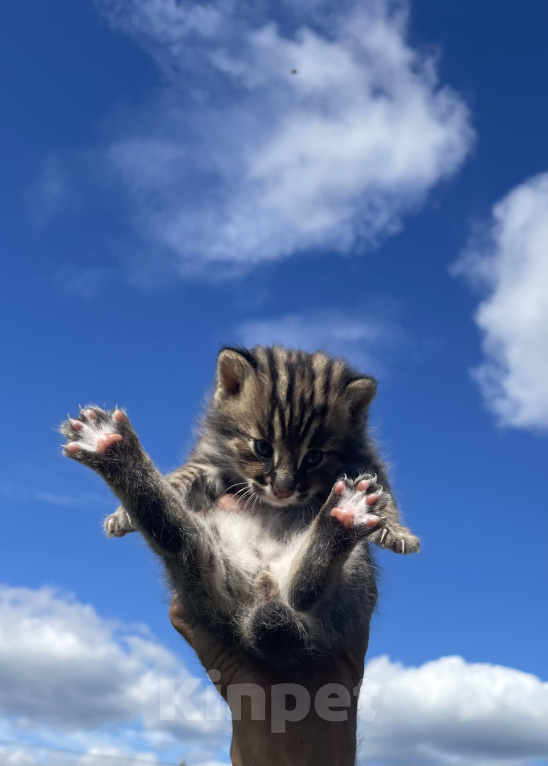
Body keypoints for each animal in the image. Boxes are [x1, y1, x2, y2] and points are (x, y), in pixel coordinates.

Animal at [61, 344, 420, 668]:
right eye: (262, 448)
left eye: (314, 457)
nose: (282, 491)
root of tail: (262, 592)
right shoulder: (210, 461)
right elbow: (180, 478)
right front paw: (124, 514)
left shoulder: (366, 460)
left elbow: (385, 495)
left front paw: (395, 529)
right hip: (198, 568)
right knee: (173, 534)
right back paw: (112, 447)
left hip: (353, 575)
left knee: (303, 593)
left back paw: (343, 518)